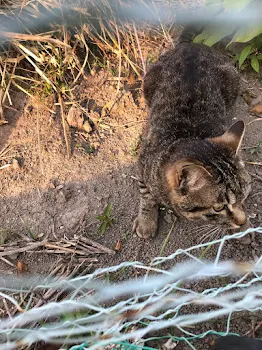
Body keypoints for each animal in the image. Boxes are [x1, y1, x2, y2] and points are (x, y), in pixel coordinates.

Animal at [134, 28, 251, 239]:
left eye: (244, 195)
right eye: (219, 208)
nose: (242, 221)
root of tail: (191, 46)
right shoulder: (141, 165)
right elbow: (146, 195)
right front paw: (146, 221)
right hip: (148, 81)